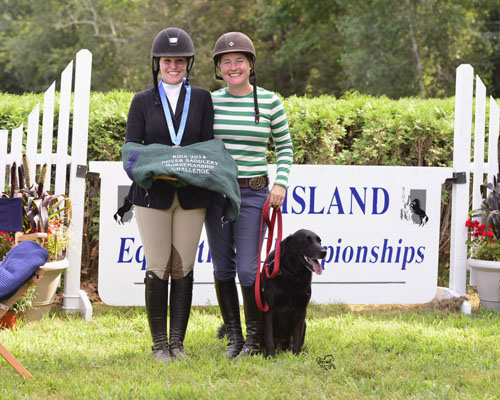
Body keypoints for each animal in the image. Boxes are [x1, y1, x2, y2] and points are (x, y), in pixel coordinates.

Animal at [261, 229, 326, 357]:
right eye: (306, 240)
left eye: (319, 241)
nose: (324, 252)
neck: (293, 274)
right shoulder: (269, 309)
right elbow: (269, 338)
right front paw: (270, 356)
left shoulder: (302, 309)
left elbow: (296, 337)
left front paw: (296, 355)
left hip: (305, 324)